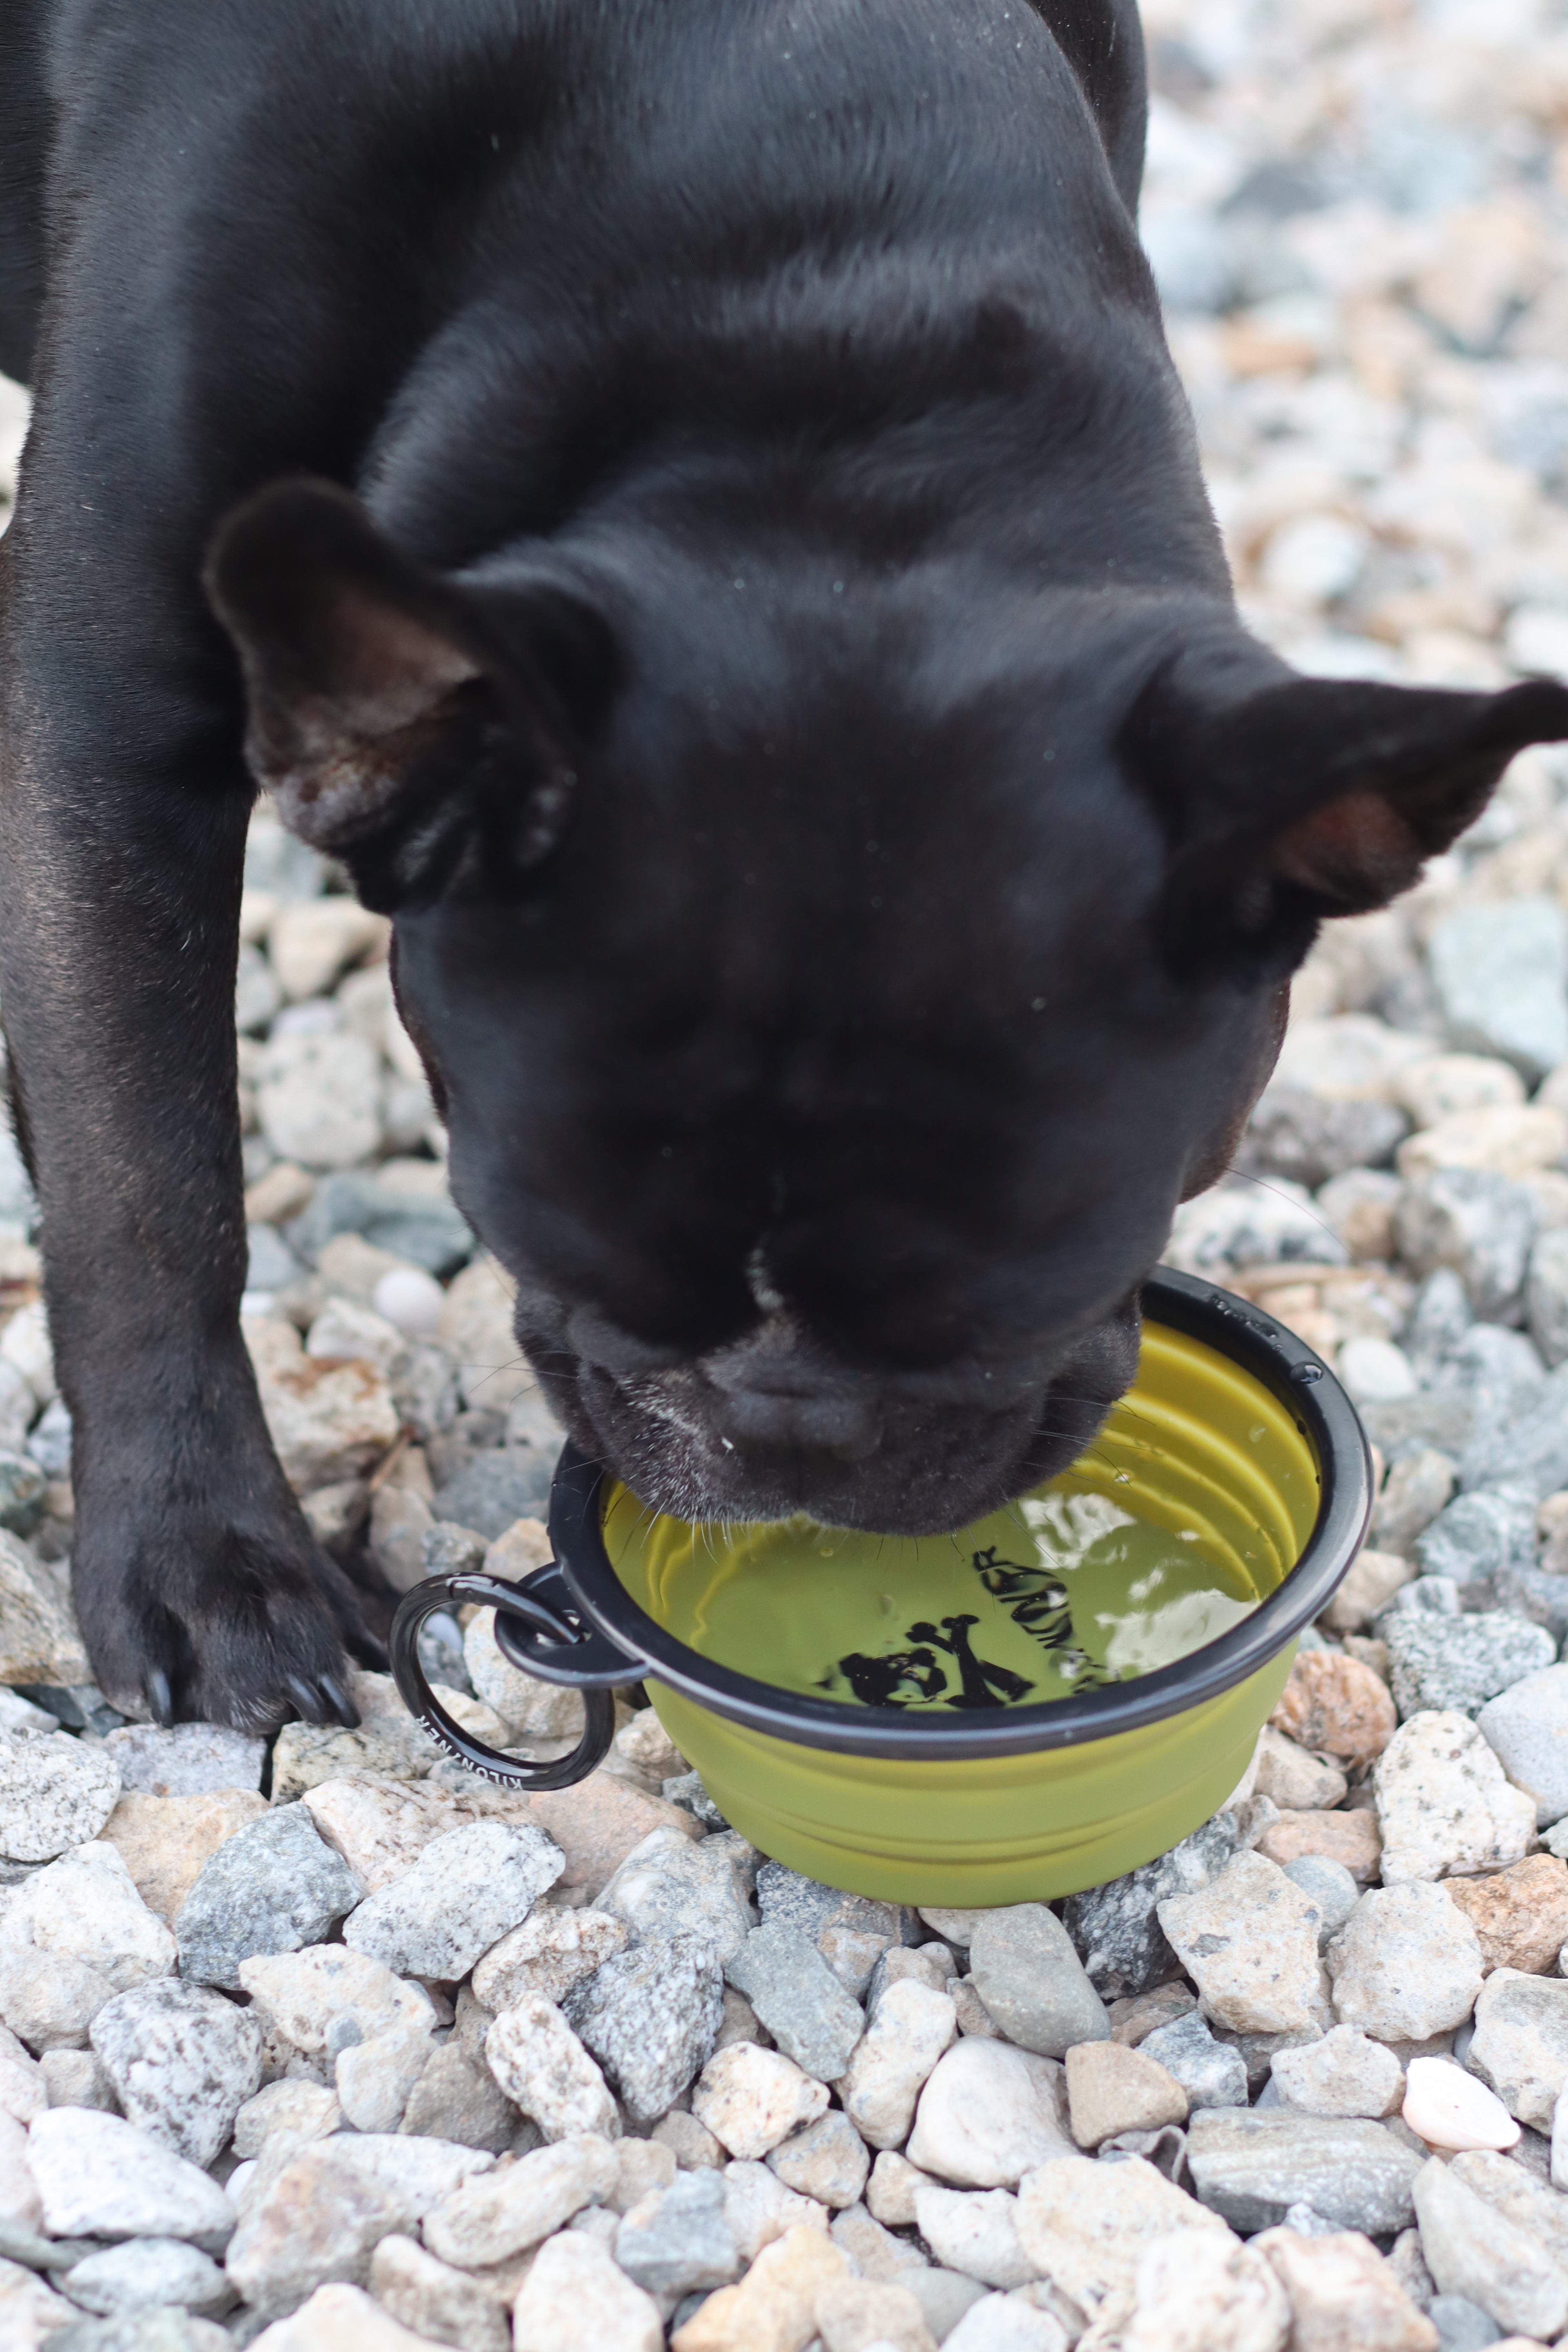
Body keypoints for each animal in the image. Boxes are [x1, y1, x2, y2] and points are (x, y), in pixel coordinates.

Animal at [3, 0, 1568, 1731]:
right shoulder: (109, 720)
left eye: (1018, 1309)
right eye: (553, 1251)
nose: (790, 1430)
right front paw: (208, 1553)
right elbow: (150, 1180)